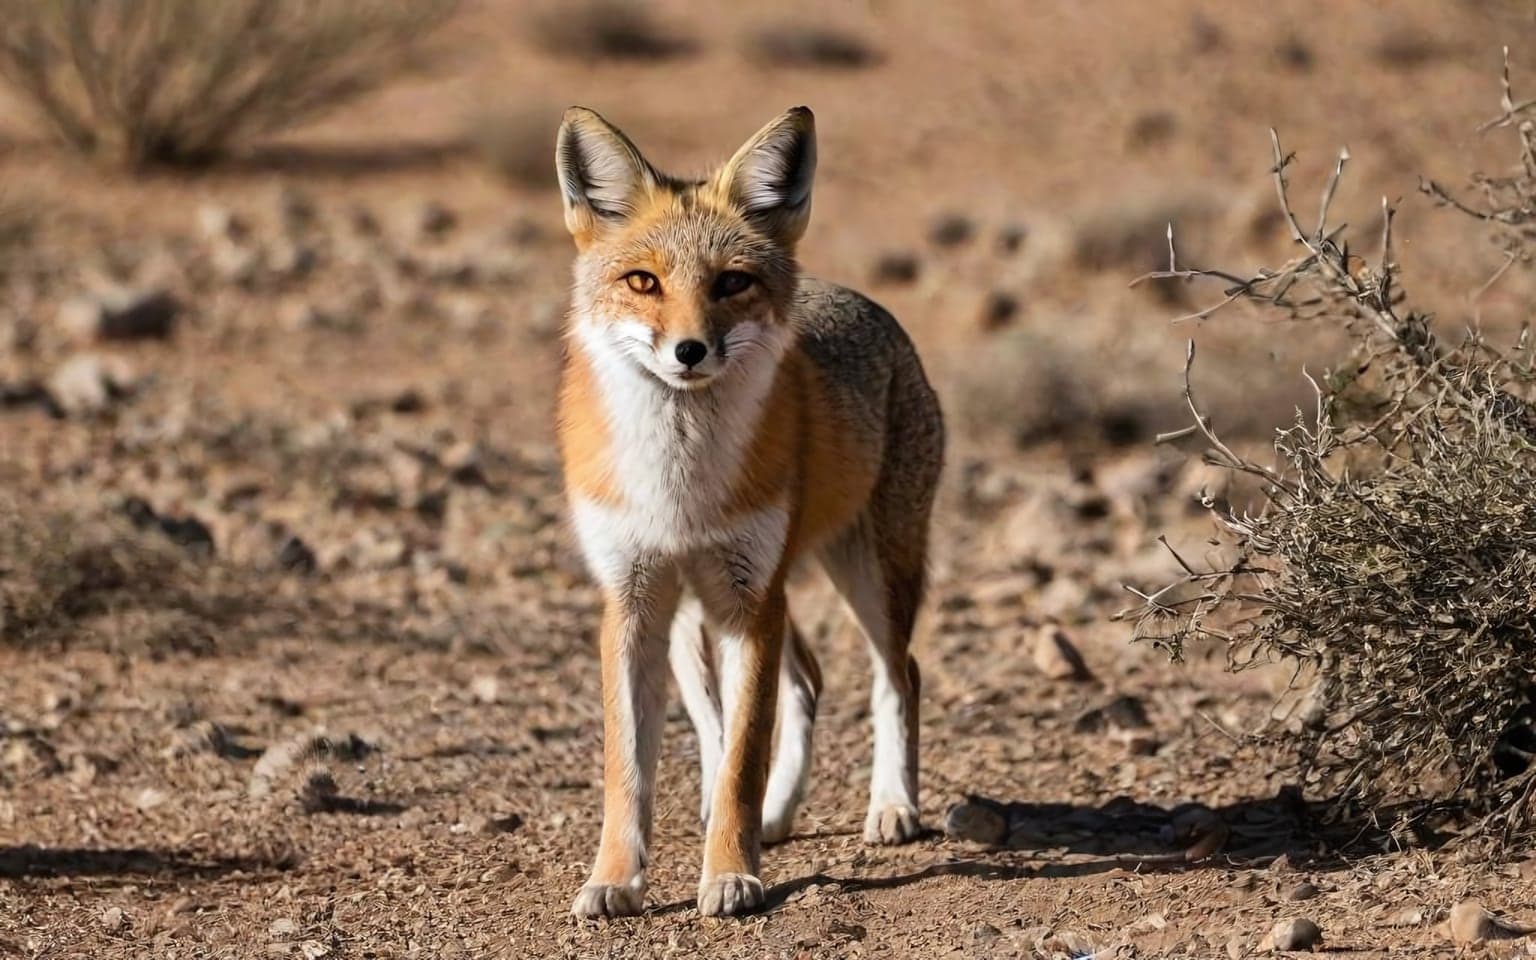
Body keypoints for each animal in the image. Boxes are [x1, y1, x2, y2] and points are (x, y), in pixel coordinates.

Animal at [554, 105, 944, 919]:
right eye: (643, 282)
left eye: (732, 282)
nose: (690, 351)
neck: (678, 485)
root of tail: (860, 300)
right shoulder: (634, 600)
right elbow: (630, 770)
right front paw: (615, 879)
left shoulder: (747, 598)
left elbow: (742, 758)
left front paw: (731, 875)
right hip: (708, 610)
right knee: (803, 681)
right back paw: (777, 813)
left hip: (864, 573)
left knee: (899, 674)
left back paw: (892, 806)